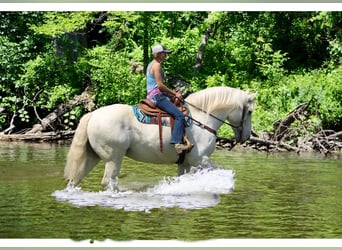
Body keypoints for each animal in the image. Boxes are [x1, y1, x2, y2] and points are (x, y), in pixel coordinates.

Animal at [65, 86, 254, 189]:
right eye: (250, 111)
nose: (246, 137)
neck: (202, 118)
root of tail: (93, 115)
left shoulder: (185, 163)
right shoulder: (201, 159)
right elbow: (215, 170)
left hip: (92, 156)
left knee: (75, 179)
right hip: (113, 158)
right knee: (108, 182)